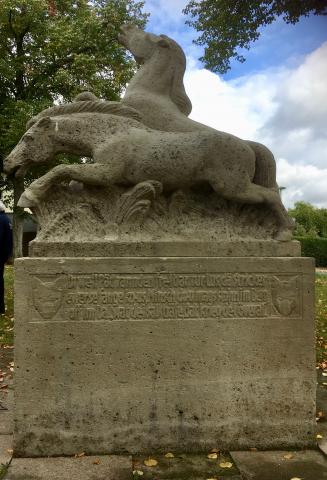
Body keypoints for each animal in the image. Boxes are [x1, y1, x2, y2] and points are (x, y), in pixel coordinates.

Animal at [4, 110, 292, 238]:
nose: (7, 163)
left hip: (232, 186)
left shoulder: (106, 173)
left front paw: (30, 194)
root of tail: (248, 145)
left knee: (271, 196)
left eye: (28, 138)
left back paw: (284, 233)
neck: (109, 135)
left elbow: (62, 168)